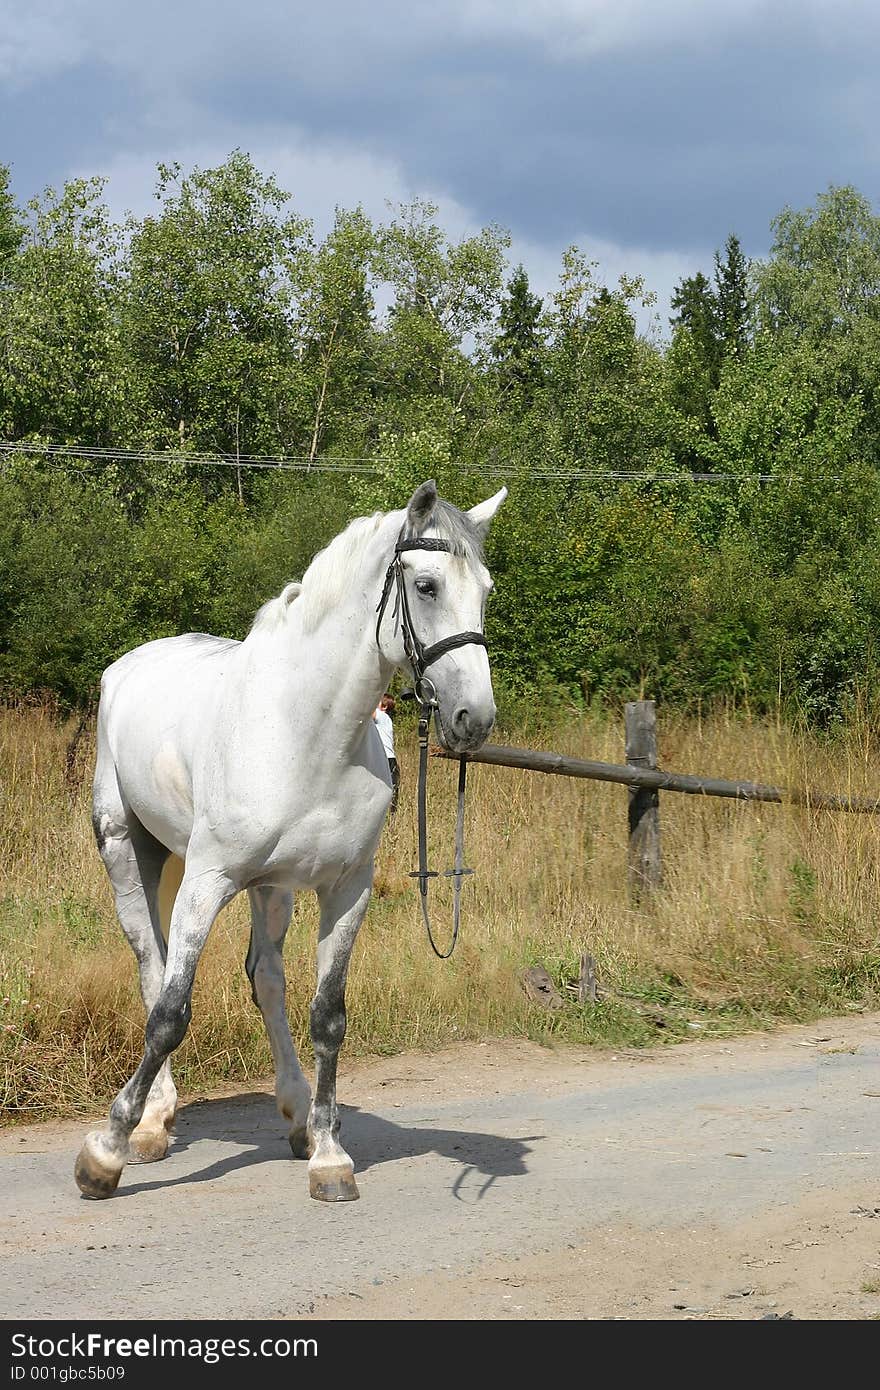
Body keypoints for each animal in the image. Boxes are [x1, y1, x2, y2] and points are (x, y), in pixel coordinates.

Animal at [77, 478, 500, 1195]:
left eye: (486, 590)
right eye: (427, 586)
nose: (475, 719)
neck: (307, 732)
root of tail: (129, 665)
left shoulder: (347, 889)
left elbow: (327, 1016)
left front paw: (330, 1155)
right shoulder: (207, 881)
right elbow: (170, 1014)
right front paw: (104, 1153)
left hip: (272, 888)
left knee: (266, 978)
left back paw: (298, 1113)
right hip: (130, 853)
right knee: (151, 965)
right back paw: (153, 1123)